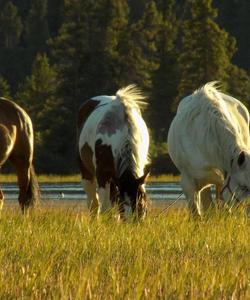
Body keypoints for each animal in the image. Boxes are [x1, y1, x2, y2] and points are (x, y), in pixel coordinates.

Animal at [77, 85, 149, 220]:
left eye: (141, 203)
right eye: (123, 202)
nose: (133, 222)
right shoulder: (102, 173)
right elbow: (106, 206)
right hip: (87, 172)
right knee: (93, 202)